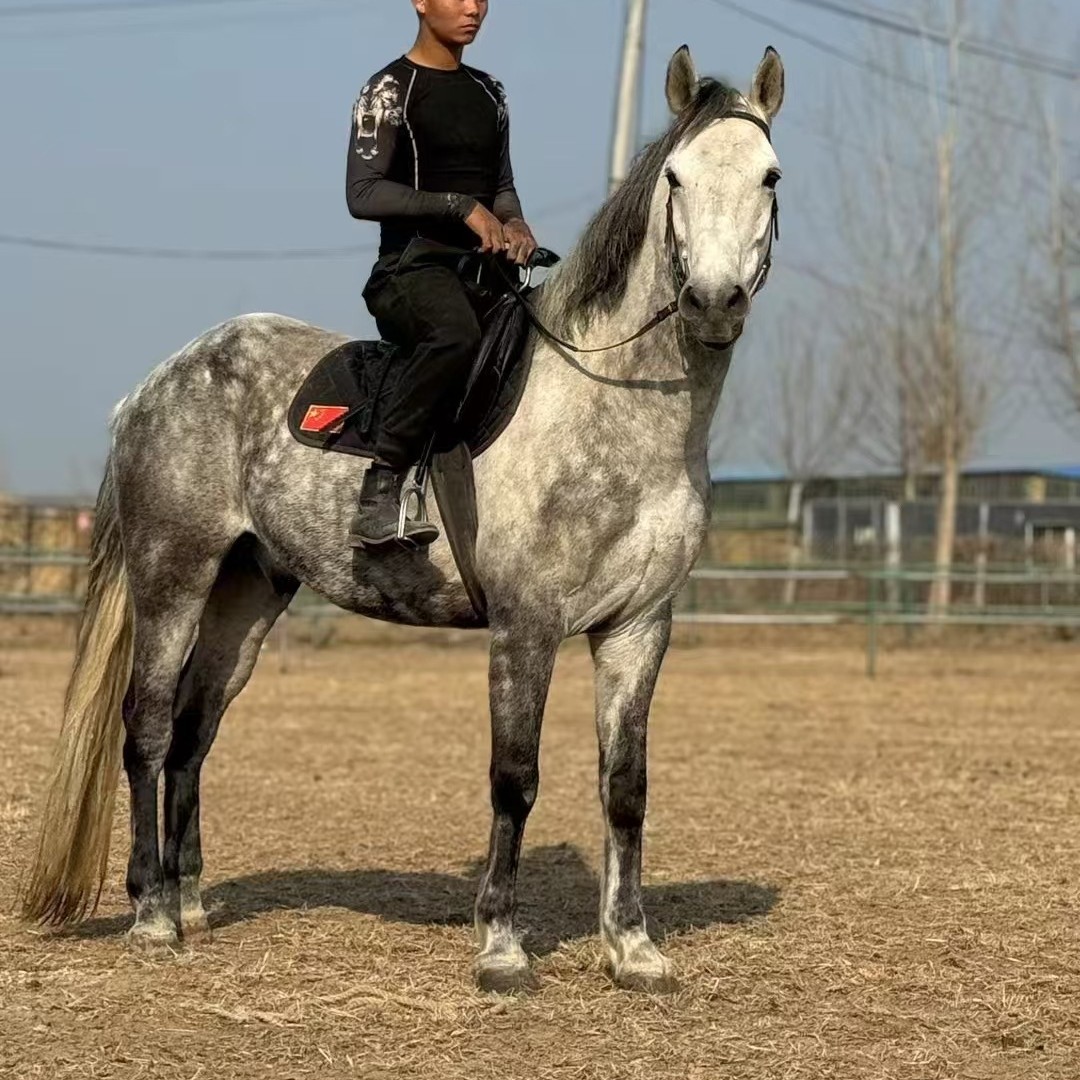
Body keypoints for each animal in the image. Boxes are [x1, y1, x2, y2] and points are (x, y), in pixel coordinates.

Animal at [22, 44, 784, 994]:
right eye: (676, 177)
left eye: (770, 176)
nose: (714, 303)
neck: (612, 410)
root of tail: (159, 382)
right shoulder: (526, 627)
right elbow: (515, 779)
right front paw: (500, 946)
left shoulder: (640, 628)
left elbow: (626, 786)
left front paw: (634, 948)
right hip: (174, 575)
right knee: (150, 728)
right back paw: (152, 916)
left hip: (248, 593)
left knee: (196, 731)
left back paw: (188, 899)